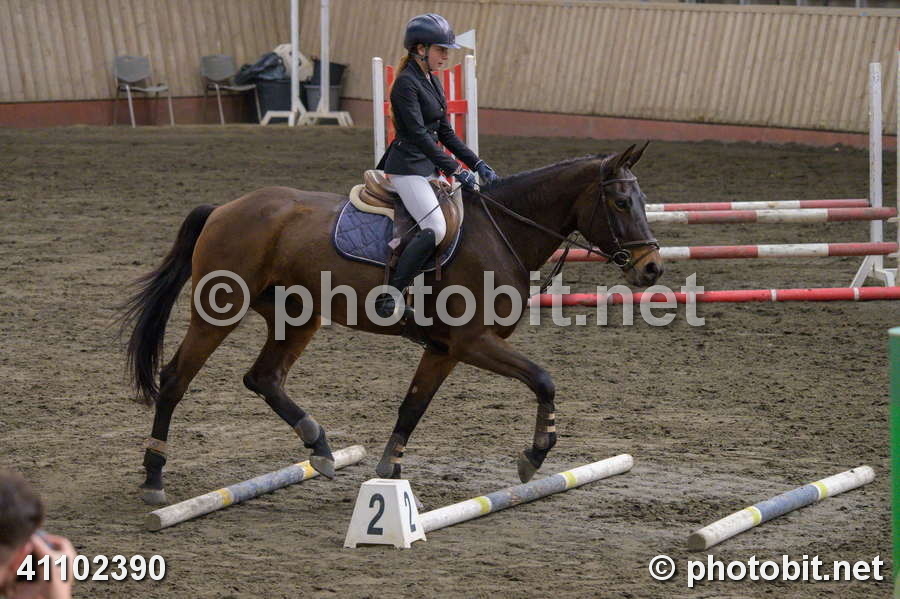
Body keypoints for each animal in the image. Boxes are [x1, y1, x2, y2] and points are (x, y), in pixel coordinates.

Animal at [120, 143, 662, 505]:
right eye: (620, 203)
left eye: (640, 201)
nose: (652, 269)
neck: (501, 231)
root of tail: (225, 209)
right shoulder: (471, 342)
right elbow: (544, 380)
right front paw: (535, 456)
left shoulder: (444, 349)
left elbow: (412, 406)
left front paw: (390, 470)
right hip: (219, 311)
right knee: (176, 379)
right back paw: (153, 479)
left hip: (298, 315)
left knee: (264, 377)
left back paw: (320, 446)